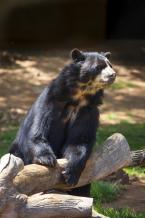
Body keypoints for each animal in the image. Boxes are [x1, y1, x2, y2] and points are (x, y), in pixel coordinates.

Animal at [9, 49, 116, 198]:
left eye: (110, 65)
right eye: (98, 67)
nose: (113, 75)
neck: (79, 95)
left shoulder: (88, 111)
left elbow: (79, 140)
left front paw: (70, 173)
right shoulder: (50, 101)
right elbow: (38, 132)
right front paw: (47, 159)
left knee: (84, 187)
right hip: (18, 152)